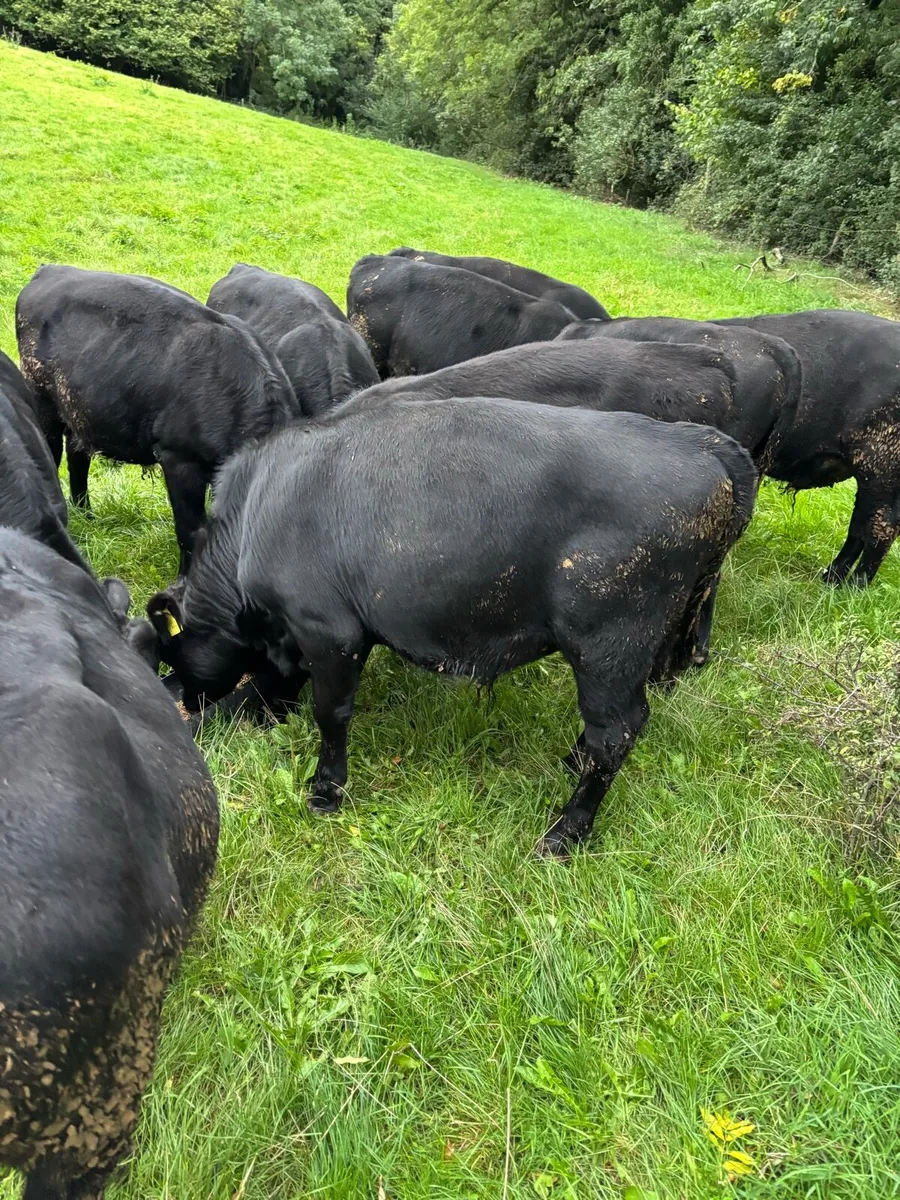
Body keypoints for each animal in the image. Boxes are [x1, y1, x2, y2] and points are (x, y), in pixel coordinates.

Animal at [16, 265, 301, 575]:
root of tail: (51, 269)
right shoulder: (178, 458)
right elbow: (190, 530)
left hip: (80, 410)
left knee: (78, 455)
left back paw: (87, 516)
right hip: (41, 398)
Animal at [146, 397, 756, 856]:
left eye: (172, 658)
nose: (183, 699)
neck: (258, 511)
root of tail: (700, 442)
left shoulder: (328, 630)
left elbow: (332, 712)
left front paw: (326, 789)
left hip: (609, 644)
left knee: (617, 733)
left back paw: (565, 832)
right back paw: (572, 762)